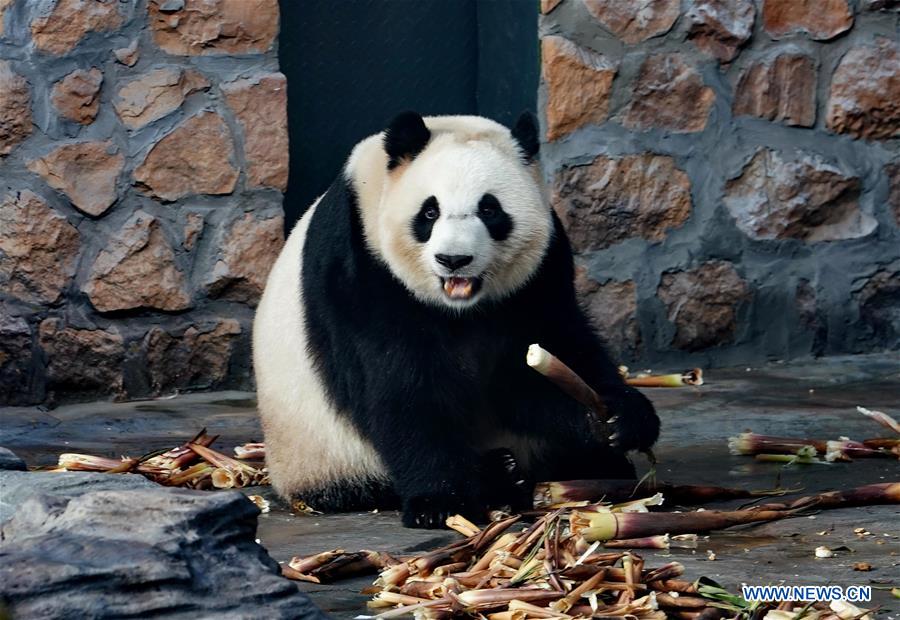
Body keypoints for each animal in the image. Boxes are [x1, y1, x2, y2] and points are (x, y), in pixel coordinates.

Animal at [253, 111, 660, 528]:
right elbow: (401, 384)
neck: (460, 309)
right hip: (329, 455)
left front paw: (616, 417)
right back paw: (501, 473)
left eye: (490, 210)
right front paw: (440, 501)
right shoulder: (363, 270)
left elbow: (545, 354)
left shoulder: (538, 277)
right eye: (429, 212)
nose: (454, 259)